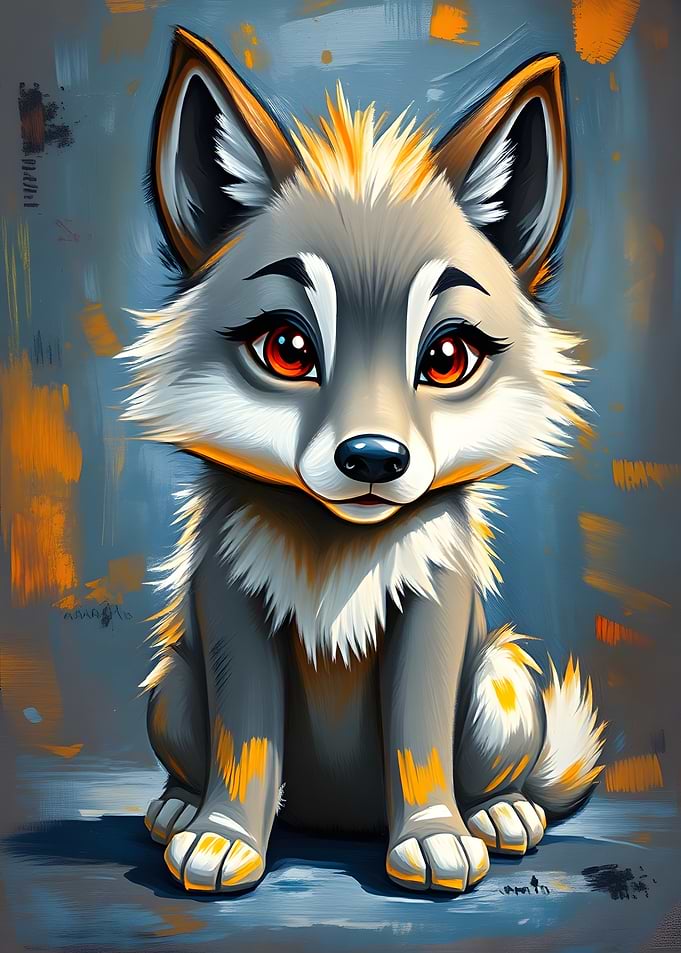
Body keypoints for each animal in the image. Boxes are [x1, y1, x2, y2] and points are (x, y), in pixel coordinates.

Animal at [121, 28, 606, 894]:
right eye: (286, 347)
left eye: (446, 357)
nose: (373, 458)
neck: (336, 554)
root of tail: (336, 822)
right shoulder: (232, 614)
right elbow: (245, 746)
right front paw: (222, 838)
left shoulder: (432, 613)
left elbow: (417, 741)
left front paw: (433, 837)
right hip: (172, 683)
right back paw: (177, 807)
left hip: (502, 684)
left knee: (507, 777)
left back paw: (501, 813)